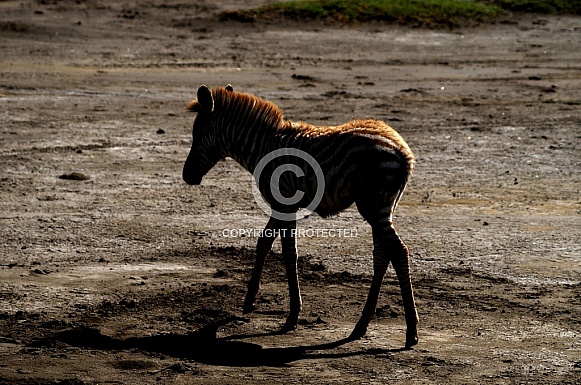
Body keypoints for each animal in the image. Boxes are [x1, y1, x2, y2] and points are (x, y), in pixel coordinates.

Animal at [181, 84, 416, 348]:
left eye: (197, 133)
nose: (187, 176)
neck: (264, 146)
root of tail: (402, 150)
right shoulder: (281, 205)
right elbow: (264, 243)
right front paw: (250, 301)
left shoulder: (284, 203)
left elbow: (288, 253)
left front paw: (291, 316)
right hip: (380, 207)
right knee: (382, 255)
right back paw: (361, 326)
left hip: (374, 206)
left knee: (398, 251)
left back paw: (411, 331)